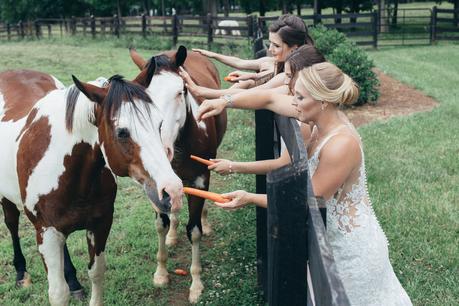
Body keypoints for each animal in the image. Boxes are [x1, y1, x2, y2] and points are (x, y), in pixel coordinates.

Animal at [0, 62, 183, 306]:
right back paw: (22, 274)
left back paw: (73, 281)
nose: (173, 191)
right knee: (12, 223)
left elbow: (96, 273)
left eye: (159, 124)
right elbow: (58, 293)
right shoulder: (47, 233)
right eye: (122, 132)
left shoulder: (100, 224)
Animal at [130, 45, 227, 304]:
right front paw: (161, 273)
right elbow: (161, 225)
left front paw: (196, 285)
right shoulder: (157, 186)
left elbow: (194, 231)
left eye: (181, 90)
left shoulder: (200, 180)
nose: (162, 151)